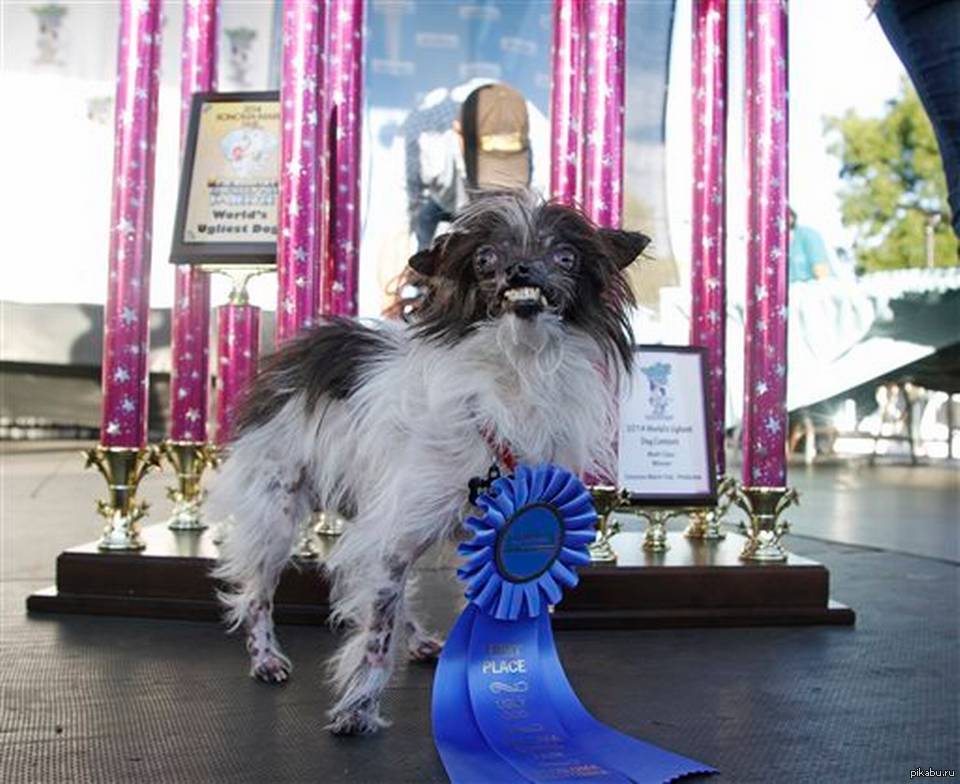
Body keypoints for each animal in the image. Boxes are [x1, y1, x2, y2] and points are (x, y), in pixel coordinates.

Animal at [208, 190, 644, 736]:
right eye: (485, 259)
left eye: (565, 257)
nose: (521, 269)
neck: (517, 372)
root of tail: (297, 354)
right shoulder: (391, 536)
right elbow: (375, 633)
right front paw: (358, 708)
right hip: (277, 513)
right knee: (258, 593)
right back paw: (266, 657)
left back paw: (415, 640)